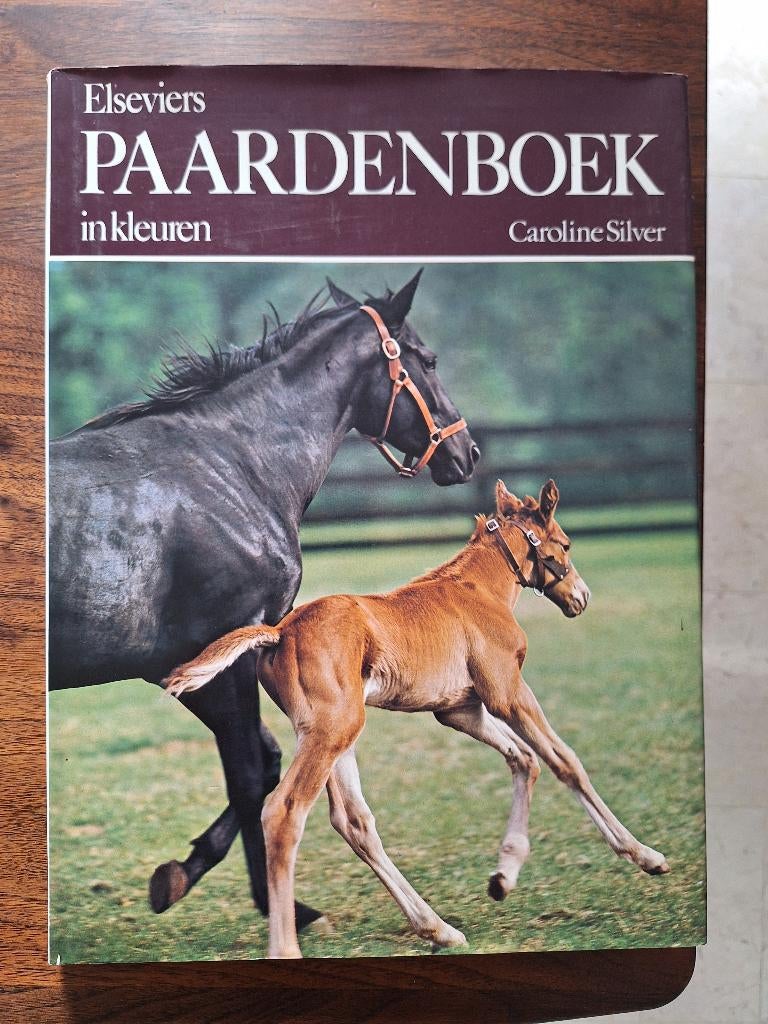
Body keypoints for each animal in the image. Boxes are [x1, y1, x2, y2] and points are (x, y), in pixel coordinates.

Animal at [49, 270, 479, 931]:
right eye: (427, 360)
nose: (466, 454)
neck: (232, 467)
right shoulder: (231, 650)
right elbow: (251, 775)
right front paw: (284, 907)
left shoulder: (191, 667)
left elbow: (265, 761)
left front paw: (177, 875)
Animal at [165, 478, 670, 959]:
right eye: (565, 544)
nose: (581, 596)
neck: (477, 592)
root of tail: (278, 631)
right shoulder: (506, 692)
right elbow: (565, 762)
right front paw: (646, 856)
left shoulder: (459, 709)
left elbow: (524, 760)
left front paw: (503, 877)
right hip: (333, 730)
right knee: (285, 811)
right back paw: (287, 947)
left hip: (329, 732)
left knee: (353, 821)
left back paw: (438, 928)